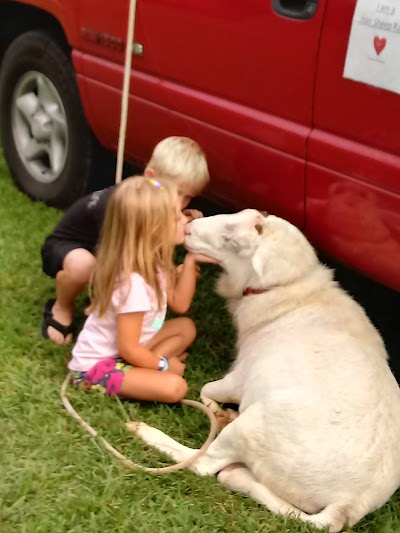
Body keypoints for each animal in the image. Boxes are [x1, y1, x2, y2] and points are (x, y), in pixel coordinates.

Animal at [131, 209, 400, 532]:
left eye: (232, 238)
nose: (189, 228)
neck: (293, 293)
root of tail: (349, 503)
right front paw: (222, 412)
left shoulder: (240, 376)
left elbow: (207, 389)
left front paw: (217, 410)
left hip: (253, 427)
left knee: (203, 464)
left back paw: (147, 432)